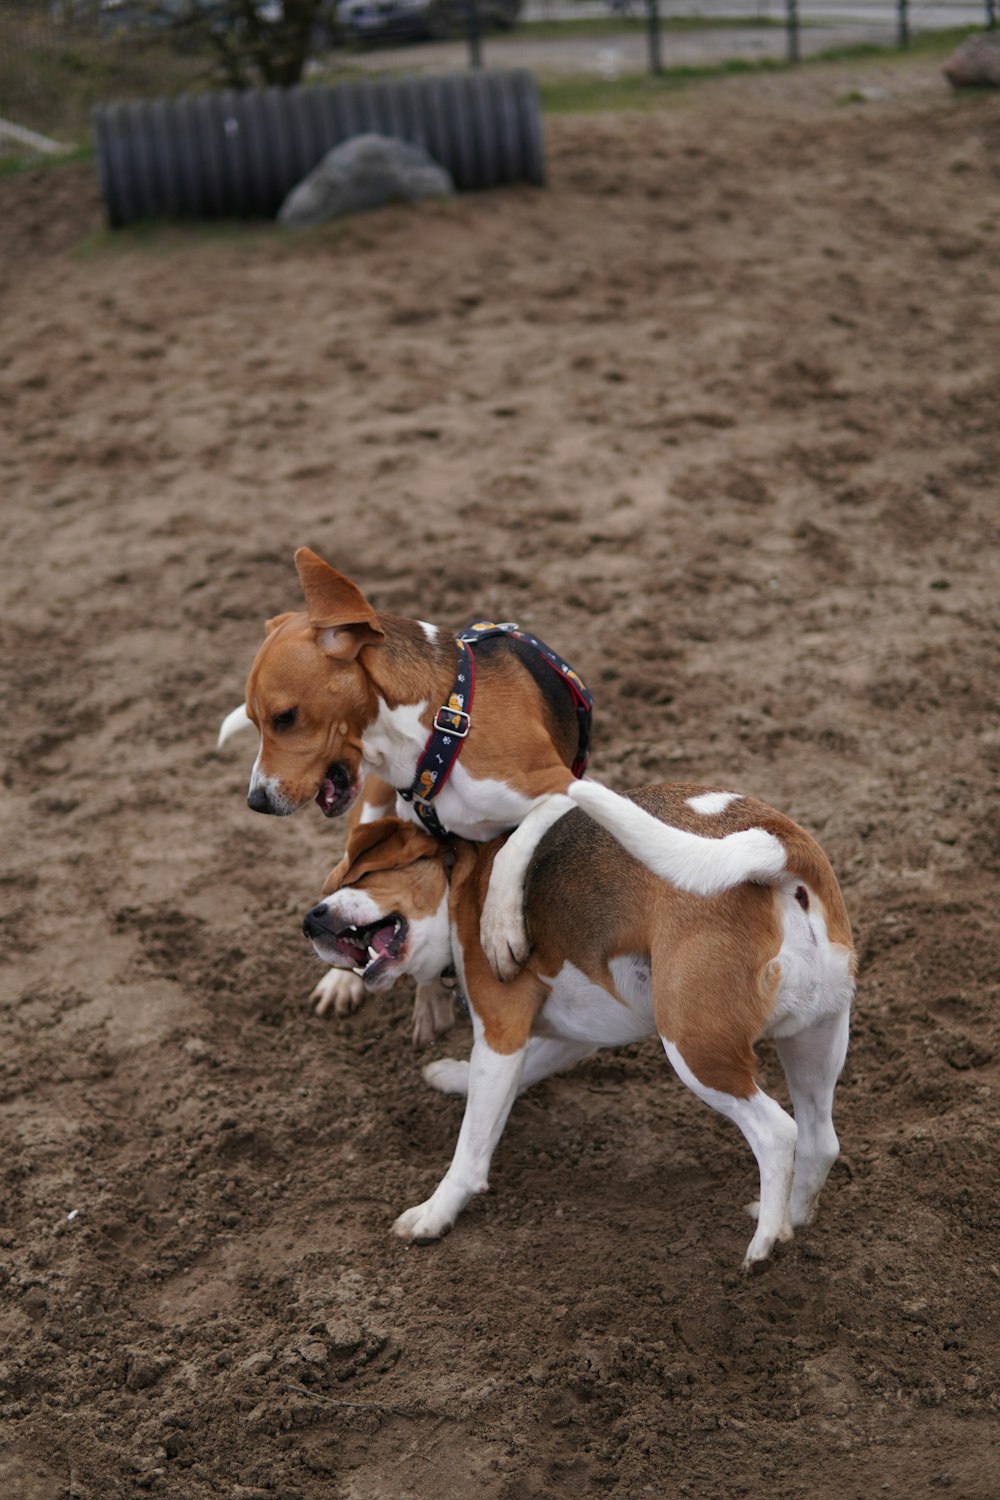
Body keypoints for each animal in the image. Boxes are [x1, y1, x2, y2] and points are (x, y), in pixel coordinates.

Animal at [301, 780, 857, 1272]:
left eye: (358, 876)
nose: (310, 920)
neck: (464, 881)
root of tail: (779, 846)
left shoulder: (501, 1031)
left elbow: (472, 1145)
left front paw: (434, 1214)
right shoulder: (573, 1036)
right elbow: (512, 1077)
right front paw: (453, 1077)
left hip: (695, 1049)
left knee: (777, 1132)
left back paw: (763, 1245)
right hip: (814, 1040)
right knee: (819, 1140)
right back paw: (789, 1220)